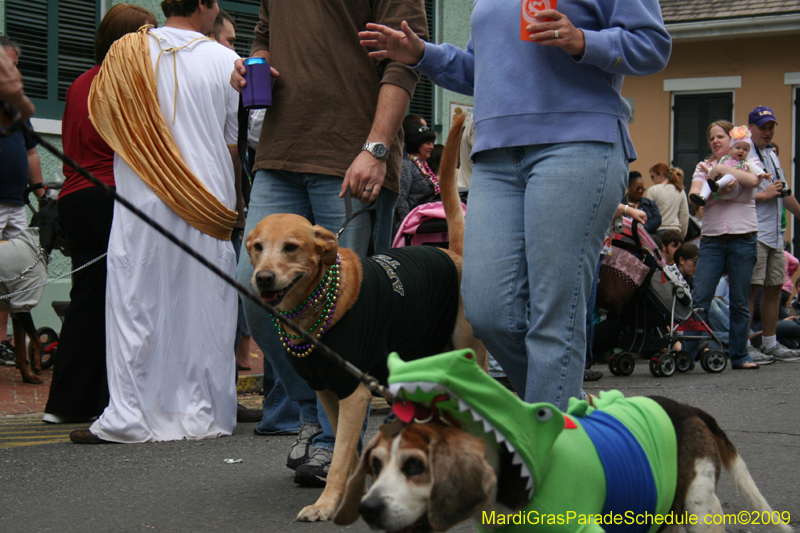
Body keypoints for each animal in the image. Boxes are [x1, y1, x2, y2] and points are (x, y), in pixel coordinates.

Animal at [244, 113, 484, 520]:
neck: (314, 312)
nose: (263, 278)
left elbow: (341, 455)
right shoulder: (328, 390)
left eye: (291, 248)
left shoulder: (353, 392)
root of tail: (452, 255)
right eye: (257, 247)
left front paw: (326, 504)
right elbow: (347, 451)